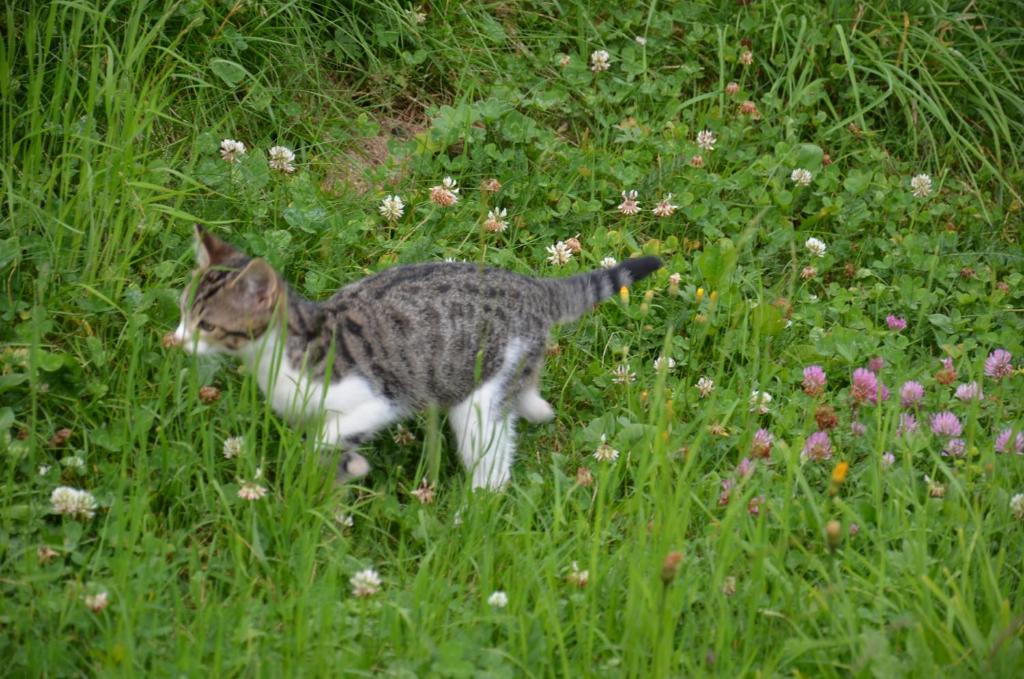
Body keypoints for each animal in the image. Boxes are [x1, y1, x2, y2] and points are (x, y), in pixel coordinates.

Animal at [165, 227, 663, 489]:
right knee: (524, 398)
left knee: (493, 461)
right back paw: (537, 407)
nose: (178, 340)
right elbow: (326, 449)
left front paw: (348, 463)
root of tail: (534, 286)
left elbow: (330, 434)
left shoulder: (380, 397)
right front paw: (345, 470)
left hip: (477, 399)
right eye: (183, 312)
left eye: (207, 324)